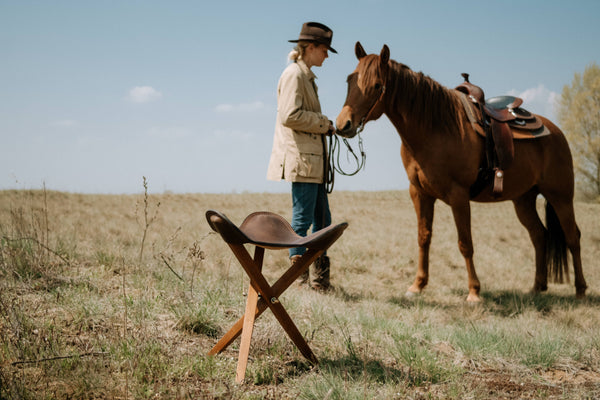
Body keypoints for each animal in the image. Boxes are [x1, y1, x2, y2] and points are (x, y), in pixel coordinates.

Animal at [336, 42, 588, 302]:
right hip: (524, 199)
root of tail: (556, 132)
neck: (435, 130)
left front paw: (474, 292)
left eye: (377, 85)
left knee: (573, 237)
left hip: (560, 197)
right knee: (539, 236)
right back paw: (537, 287)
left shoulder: (458, 196)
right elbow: (423, 237)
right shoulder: (419, 193)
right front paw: (417, 285)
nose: (343, 124)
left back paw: (580, 290)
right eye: (349, 80)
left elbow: (465, 243)